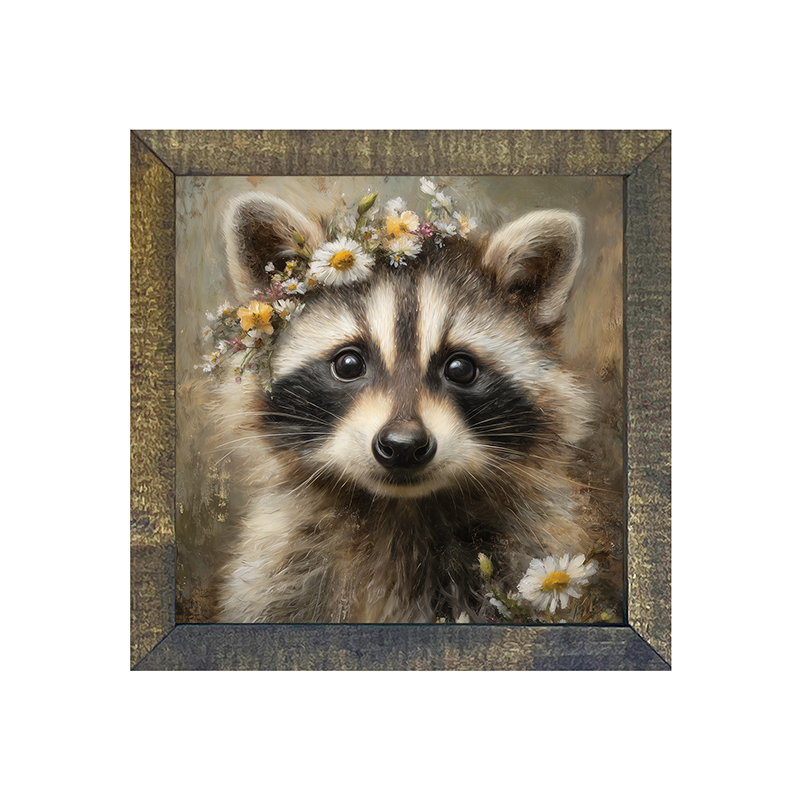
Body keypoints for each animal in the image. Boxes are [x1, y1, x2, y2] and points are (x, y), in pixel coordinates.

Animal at [212, 192, 596, 623]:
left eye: (460, 368)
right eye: (349, 364)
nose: (403, 445)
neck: (400, 510)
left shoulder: (525, 543)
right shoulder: (282, 569)